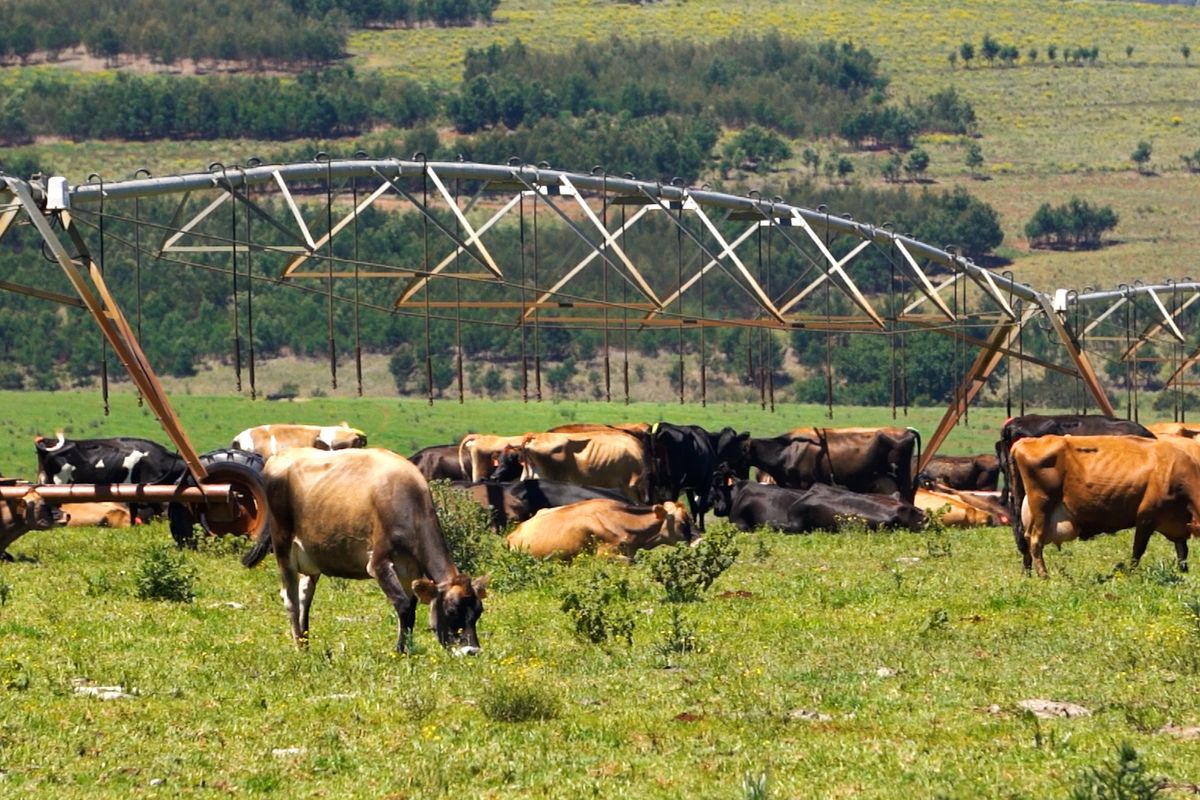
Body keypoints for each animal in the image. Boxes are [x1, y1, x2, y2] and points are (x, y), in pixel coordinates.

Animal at [241, 447, 487, 654]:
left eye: (478, 612)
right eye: (452, 611)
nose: (472, 651)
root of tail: (281, 454)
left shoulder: (410, 569)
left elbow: (411, 608)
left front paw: (405, 649)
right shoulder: (378, 562)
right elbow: (403, 605)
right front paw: (401, 652)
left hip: (310, 556)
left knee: (304, 596)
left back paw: (306, 643)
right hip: (283, 545)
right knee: (290, 597)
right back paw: (298, 648)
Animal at [1011, 435, 1200, 577]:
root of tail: (1024, 442)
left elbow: (1182, 552)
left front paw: (1184, 573)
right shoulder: (1146, 516)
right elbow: (1138, 550)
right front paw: (1131, 574)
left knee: (1026, 540)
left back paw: (1027, 574)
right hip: (1042, 504)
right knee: (1035, 541)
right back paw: (1044, 575)